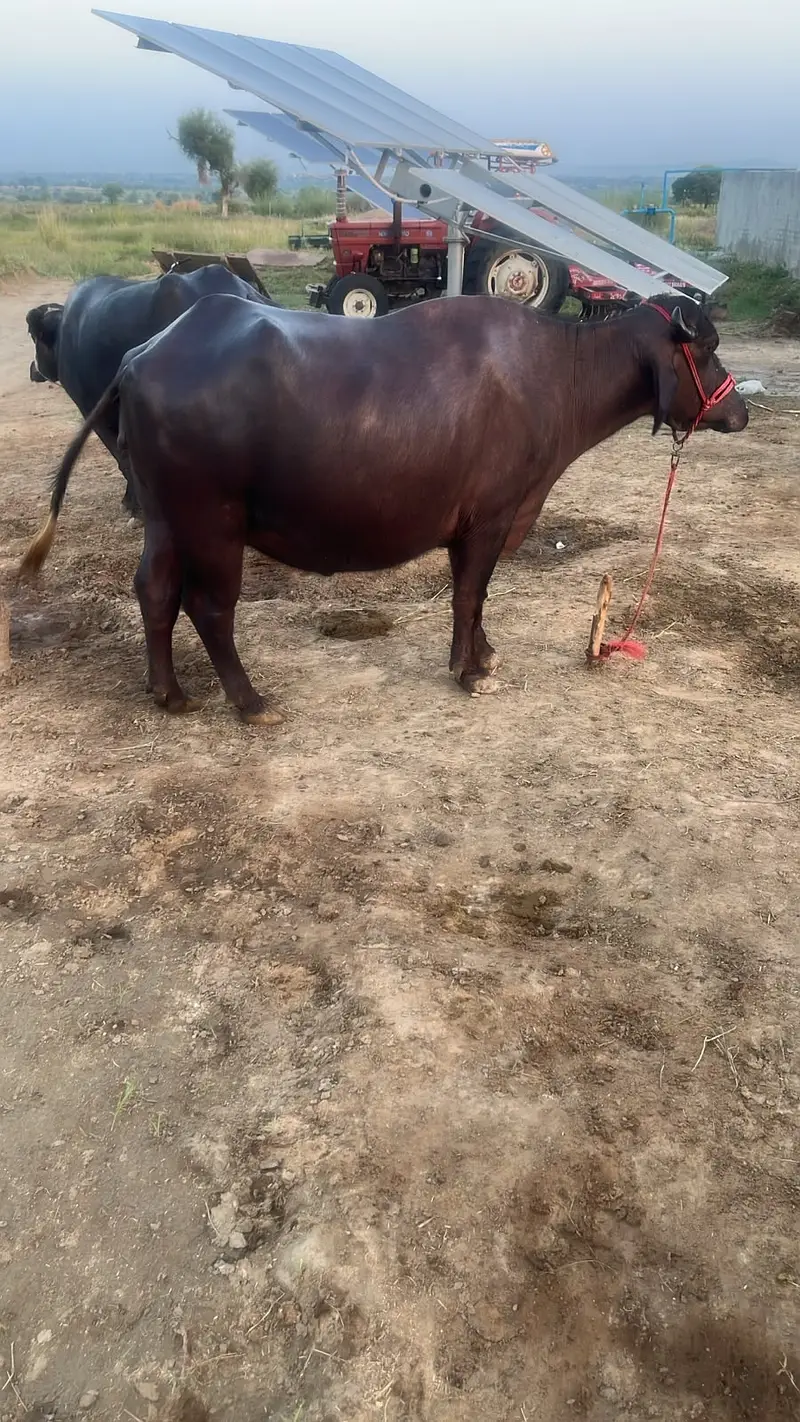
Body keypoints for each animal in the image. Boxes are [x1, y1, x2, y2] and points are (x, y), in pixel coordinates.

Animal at [19, 293, 747, 724]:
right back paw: (250, 701)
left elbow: (476, 597)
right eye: (707, 351)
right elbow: (469, 594)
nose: (740, 412)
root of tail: (143, 355)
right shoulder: (490, 517)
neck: (555, 373)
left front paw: (484, 655)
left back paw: (168, 692)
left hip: (166, 518)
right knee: (208, 606)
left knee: (154, 590)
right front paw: (468, 672)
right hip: (212, 522)